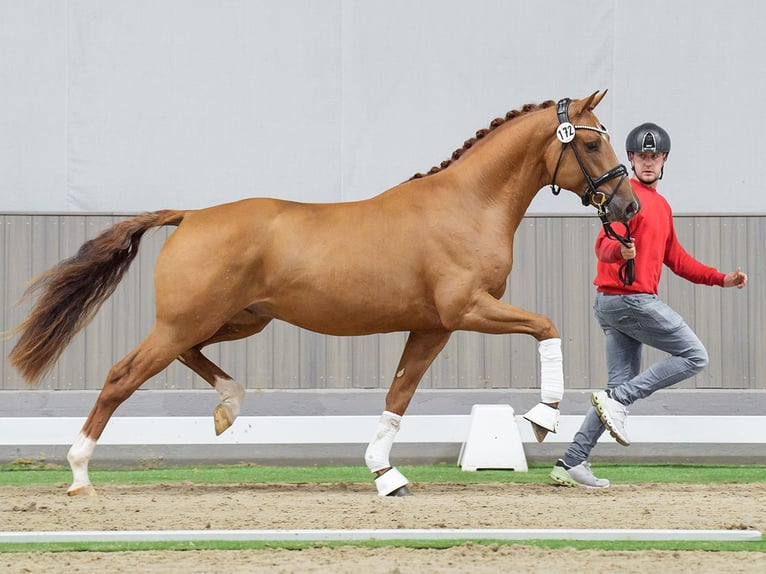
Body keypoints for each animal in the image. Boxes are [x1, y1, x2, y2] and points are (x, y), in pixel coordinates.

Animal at [9, 92, 640, 498]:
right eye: (592, 144)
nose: (628, 207)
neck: (468, 204)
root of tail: (190, 216)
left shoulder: (433, 326)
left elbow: (399, 394)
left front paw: (385, 474)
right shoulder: (467, 309)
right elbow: (547, 326)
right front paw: (541, 417)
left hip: (237, 320)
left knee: (189, 358)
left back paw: (228, 407)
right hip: (185, 322)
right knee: (122, 376)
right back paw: (80, 473)